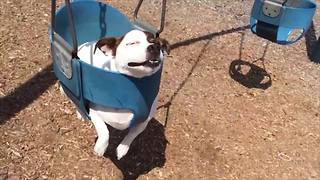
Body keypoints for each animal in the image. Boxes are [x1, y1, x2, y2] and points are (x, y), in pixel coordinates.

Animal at [60, 29, 170, 160]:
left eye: (157, 43)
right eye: (133, 43)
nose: (155, 47)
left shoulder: (143, 121)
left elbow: (132, 134)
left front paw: (123, 148)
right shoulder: (94, 112)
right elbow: (104, 131)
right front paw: (100, 148)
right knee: (74, 98)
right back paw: (80, 113)